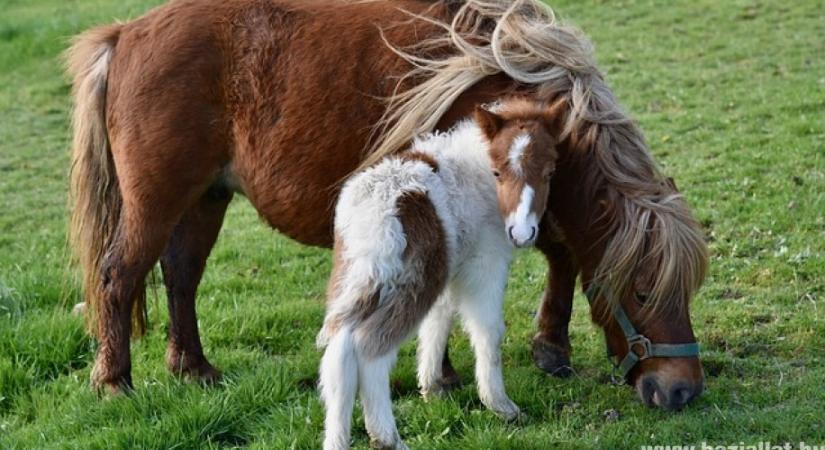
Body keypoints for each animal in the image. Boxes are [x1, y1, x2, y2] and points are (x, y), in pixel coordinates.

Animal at [66, 0, 708, 412]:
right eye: (642, 293)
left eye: (688, 291)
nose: (683, 390)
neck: (504, 76)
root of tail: (125, 35)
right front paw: (449, 376)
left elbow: (562, 252)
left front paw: (550, 347)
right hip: (156, 200)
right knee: (119, 275)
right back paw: (115, 383)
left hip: (205, 198)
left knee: (181, 277)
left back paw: (193, 369)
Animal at [318, 100, 556, 448]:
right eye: (498, 172)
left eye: (549, 173)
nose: (523, 233)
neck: (475, 175)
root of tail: (377, 212)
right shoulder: (485, 263)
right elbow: (488, 330)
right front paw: (501, 406)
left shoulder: (448, 270)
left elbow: (438, 321)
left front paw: (432, 389)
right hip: (410, 284)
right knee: (369, 349)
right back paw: (388, 437)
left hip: (359, 279)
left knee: (340, 351)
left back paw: (338, 439)